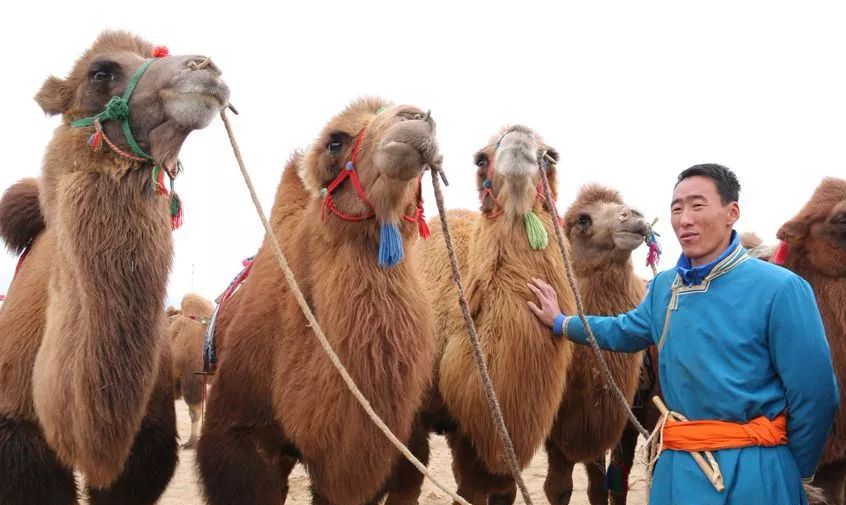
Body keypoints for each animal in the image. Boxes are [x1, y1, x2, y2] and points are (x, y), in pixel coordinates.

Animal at [544, 184, 648, 504]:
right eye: (583, 220)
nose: (635, 215)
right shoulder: (558, 426)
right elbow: (560, 488)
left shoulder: (617, 419)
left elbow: (605, 486)